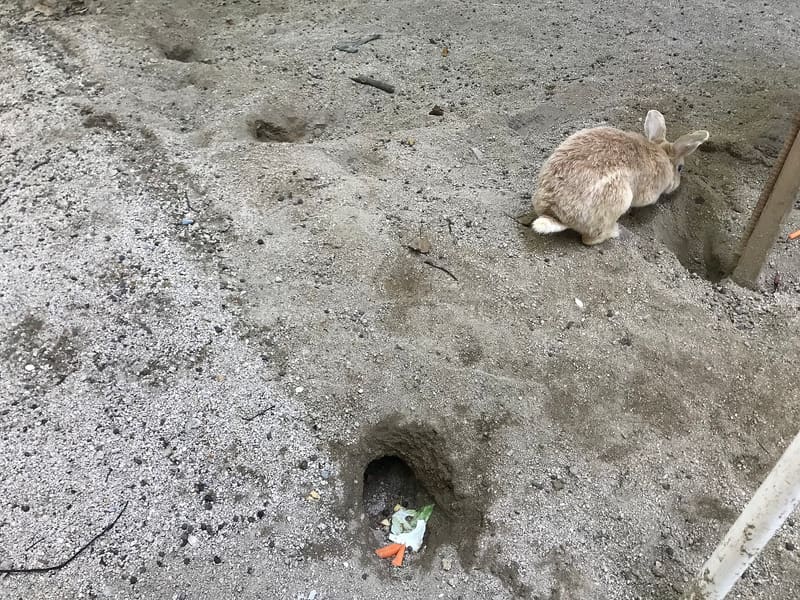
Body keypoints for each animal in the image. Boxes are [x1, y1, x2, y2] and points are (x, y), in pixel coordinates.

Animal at [531, 110, 709, 245]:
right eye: (680, 168)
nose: (677, 183)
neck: (661, 152)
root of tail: (554, 213)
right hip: (620, 198)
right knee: (589, 239)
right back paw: (615, 231)